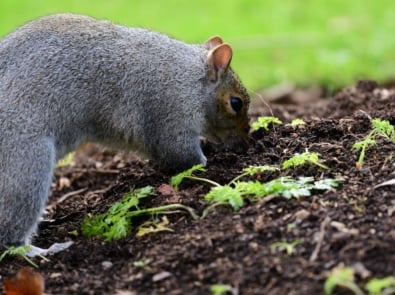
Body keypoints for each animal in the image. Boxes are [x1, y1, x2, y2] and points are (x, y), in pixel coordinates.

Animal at [0, 12, 251, 246]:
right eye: (235, 103)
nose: (245, 142)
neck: (189, 78)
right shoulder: (168, 115)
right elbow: (182, 155)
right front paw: (212, 164)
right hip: (27, 162)